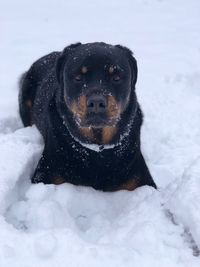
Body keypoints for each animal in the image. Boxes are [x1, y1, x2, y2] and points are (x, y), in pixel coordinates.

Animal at [18, 42, 156, 192]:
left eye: (116, 78)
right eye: (78, 78)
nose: (96, 102)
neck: (97, 150)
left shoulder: (141, 180)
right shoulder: (45, 174)